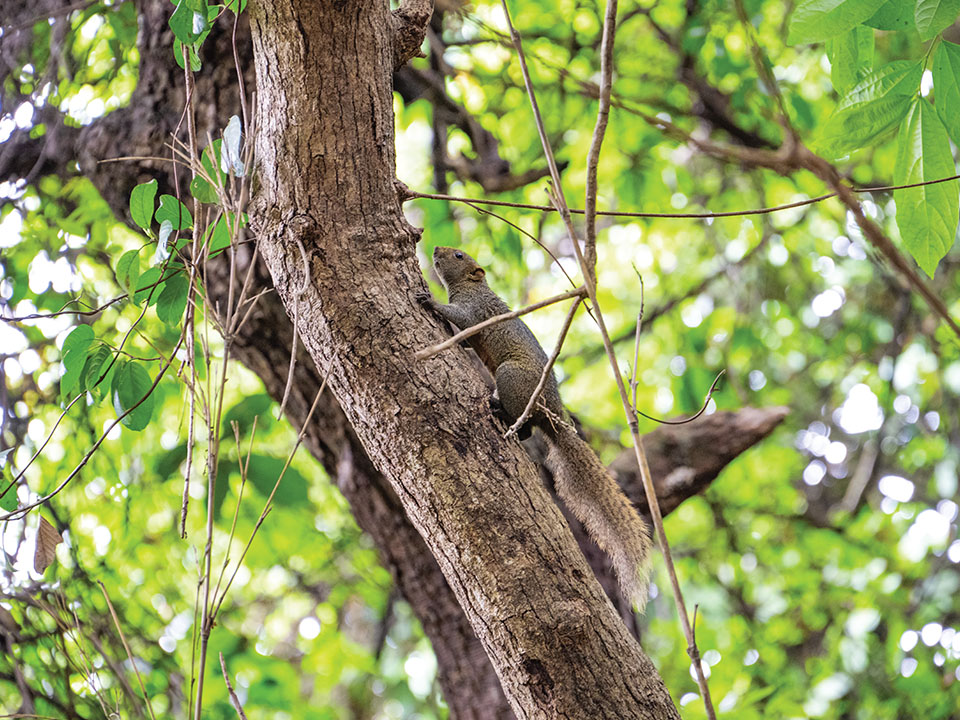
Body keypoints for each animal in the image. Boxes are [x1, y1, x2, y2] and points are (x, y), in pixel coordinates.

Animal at [420, 245, 652, 612]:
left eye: (458, 256)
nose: (435, 249)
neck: (473, 287)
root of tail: (553, 412)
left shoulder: (475, 311)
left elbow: (463, 322)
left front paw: (429, 300)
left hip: (511, 377)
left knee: (525, 426)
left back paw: (502, 415)